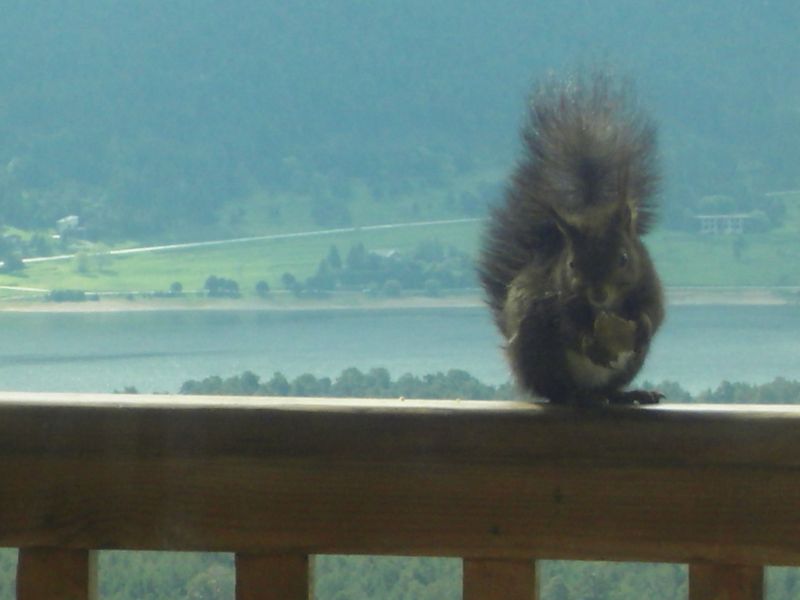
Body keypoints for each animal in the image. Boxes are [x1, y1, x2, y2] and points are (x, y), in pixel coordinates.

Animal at [478, 72, 664, 406]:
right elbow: (567, 327)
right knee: (557, 390)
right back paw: (576, 395)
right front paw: (587, 341)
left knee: (608, 389)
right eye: (573, 265)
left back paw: (627, 394)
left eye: (623, 258)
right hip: (537, 350)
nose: (598, 294)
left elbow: (654, 313)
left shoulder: (650, 283)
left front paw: (643, 326)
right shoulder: (557, 299)